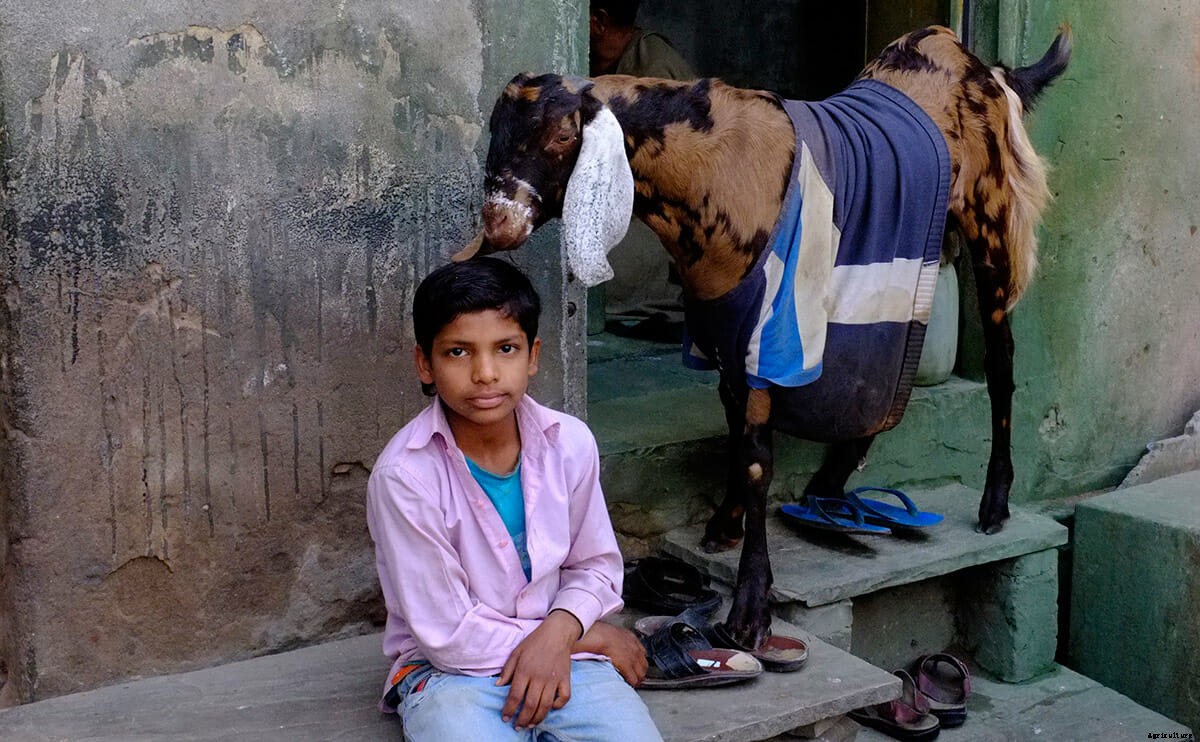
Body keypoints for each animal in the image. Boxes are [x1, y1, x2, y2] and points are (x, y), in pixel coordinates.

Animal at [459, 25, 1072, 649]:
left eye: (563, 136)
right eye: (495, 132)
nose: (499, 224)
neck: (710, 171)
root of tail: (978, 63)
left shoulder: (770, 331)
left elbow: (758, 460)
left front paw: (750, 609)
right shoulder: (723, 331)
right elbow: (738, 434)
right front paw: (724, 526)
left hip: (992, 221)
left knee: (1001, 359)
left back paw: (994, 502)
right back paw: (831, 480)